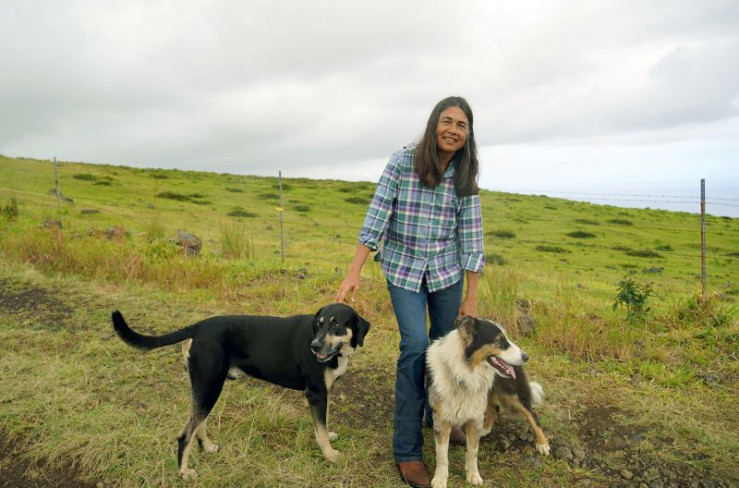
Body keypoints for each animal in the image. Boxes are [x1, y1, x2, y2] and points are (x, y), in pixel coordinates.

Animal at [111, 303, 370, 479]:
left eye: (336, 324)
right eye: (320, 323)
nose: (314, 346)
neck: (338, 352)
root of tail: (198, 327)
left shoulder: (326, 392)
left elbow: (324, 422)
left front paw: (330, 437)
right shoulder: (316, 393)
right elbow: (320, 429)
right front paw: (330, 454)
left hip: (207, 386)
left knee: (198, 423)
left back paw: (207, 447)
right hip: (210, 386)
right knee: (185, 434)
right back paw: (184, 472)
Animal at [426, 316, 544, 488]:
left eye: (506, 338)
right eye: (499, 340)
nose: (526, 357)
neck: (465, 372)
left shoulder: (474, 417)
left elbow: (472, 452)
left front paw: (473, 475)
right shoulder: (442, 420)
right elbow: (442, 455)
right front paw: (440, 479)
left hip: (512, 393)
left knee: (532, 415)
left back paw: (543, 444)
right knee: (494, 407)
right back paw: (485, 429)